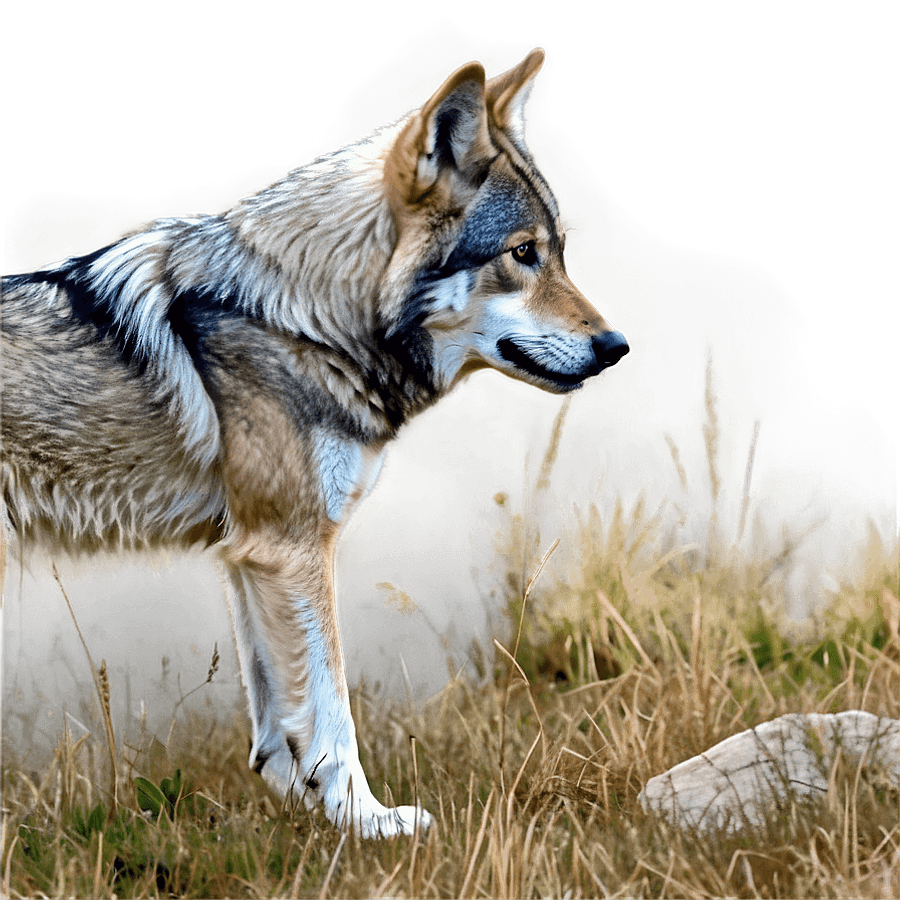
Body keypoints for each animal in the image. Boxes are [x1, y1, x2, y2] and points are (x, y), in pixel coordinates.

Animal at [1, 48, 629, 836]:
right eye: (524, 254)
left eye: (559, 254)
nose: (616, 347)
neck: (304, 317)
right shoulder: (292, 549)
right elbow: (333, 712)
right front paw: (369, 823)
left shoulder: (250, 555)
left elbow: (279, 722)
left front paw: (306, 817)